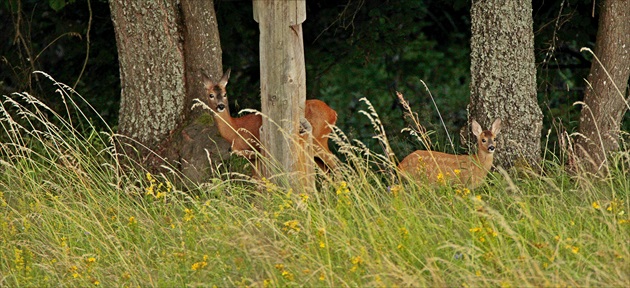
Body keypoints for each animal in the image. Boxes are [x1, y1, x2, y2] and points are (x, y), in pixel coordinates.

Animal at [205, 68, 338, 170]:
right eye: (211, 95)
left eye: (225, 94)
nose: (221, 106)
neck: (234, 130)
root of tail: (333, 112)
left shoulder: (255, 149)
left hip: (318, 140)